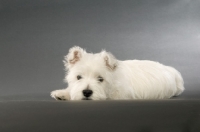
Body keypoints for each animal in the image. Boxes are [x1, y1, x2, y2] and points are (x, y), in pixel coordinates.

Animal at [50, 46, 184, 100]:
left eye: (100, 79)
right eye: (78, 77)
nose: (87, 92)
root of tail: (171, 71)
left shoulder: (121, 94)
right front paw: (62, 93)